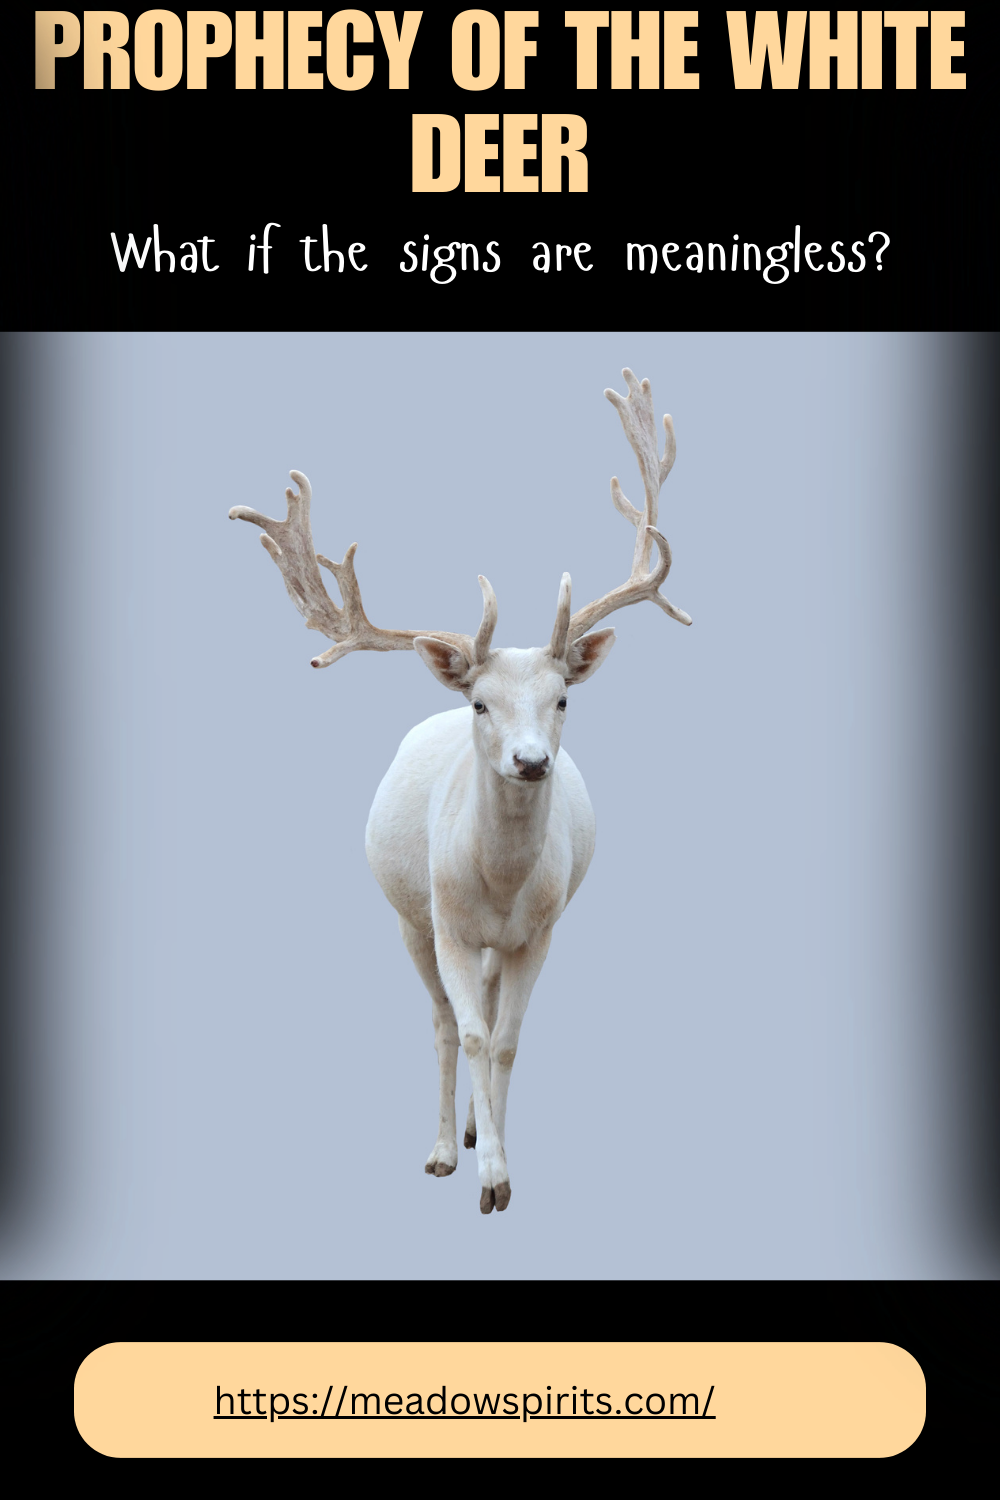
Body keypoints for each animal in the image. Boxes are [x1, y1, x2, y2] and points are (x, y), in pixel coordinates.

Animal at [228, 368, 691, 1214]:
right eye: (481, 702)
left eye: (564, 699)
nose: (531, 760)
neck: (499, 886)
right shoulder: (445, 923)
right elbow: (469, 1033)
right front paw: (485, 1178)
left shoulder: (540, 930)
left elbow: (506, 1040)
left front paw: (503, 1167)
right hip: (409, 919)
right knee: (442, 1023)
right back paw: (447, 1147)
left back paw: (477, 1129)